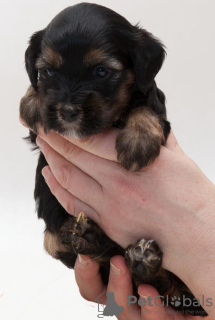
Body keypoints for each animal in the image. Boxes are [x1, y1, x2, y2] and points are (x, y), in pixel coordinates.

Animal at [19, 2, 207, 316]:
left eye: (101, 71)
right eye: (48, 72)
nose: (68, 111)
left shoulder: (155, 105)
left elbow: (146, 108)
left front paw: (138, 142)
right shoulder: (43, 136)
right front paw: (31, 102)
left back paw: (143, 261)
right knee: (58, 242)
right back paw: (93, 240)